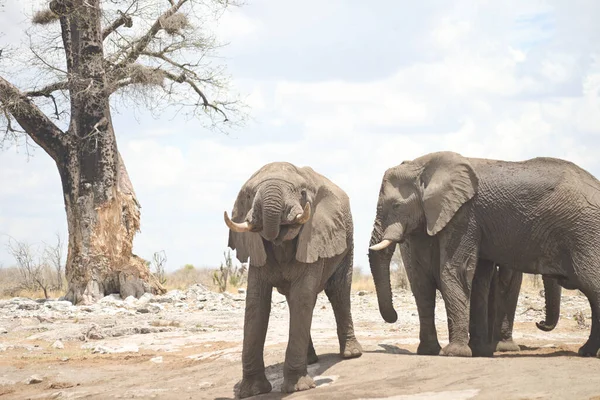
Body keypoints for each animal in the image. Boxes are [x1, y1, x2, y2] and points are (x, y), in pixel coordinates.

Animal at [223, 162, 358, 396]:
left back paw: (351, 354)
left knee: (338, 292)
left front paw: (298, 388)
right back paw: (310, 359)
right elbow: (256, 303)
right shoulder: (256, 249)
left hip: (346, 244)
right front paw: (252, 392)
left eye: (302, 192)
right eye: (248, 195)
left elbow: (302, 296)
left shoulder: (314, 235)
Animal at [368, 152, 596, 358]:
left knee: (591, 284)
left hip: (583, 231)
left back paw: (586, 351)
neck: (424, 166)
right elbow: (449, 280)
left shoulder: (465, 214)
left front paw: (457, 353)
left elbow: (457, 272)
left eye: (396, 205)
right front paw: (471, 352)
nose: (539, 323)